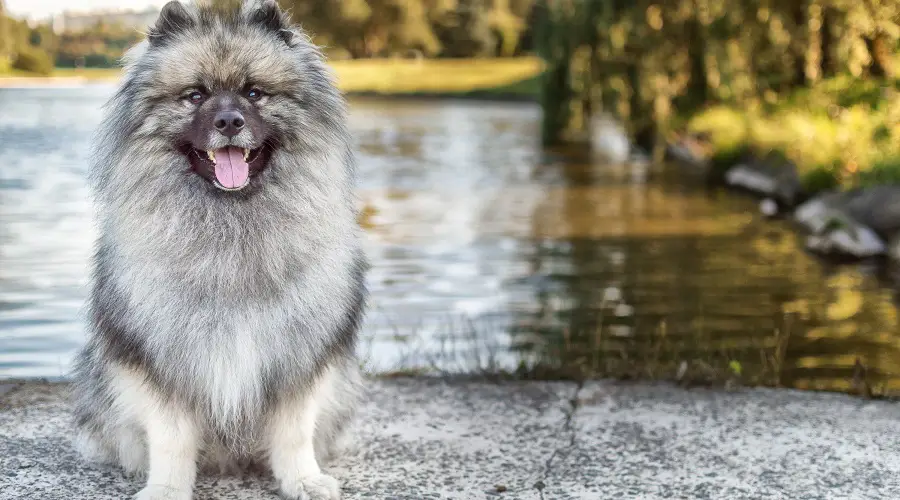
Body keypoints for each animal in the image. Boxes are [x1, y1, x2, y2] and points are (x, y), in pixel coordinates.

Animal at [68, 1, 368, 498]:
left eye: (254, 93)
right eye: (195, 95)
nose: (229, 122)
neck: (231, 224)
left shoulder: (297, 356)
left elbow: (294, 430)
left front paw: (303, 480)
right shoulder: (164, 360)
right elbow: (170, 438)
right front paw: (167, 488)